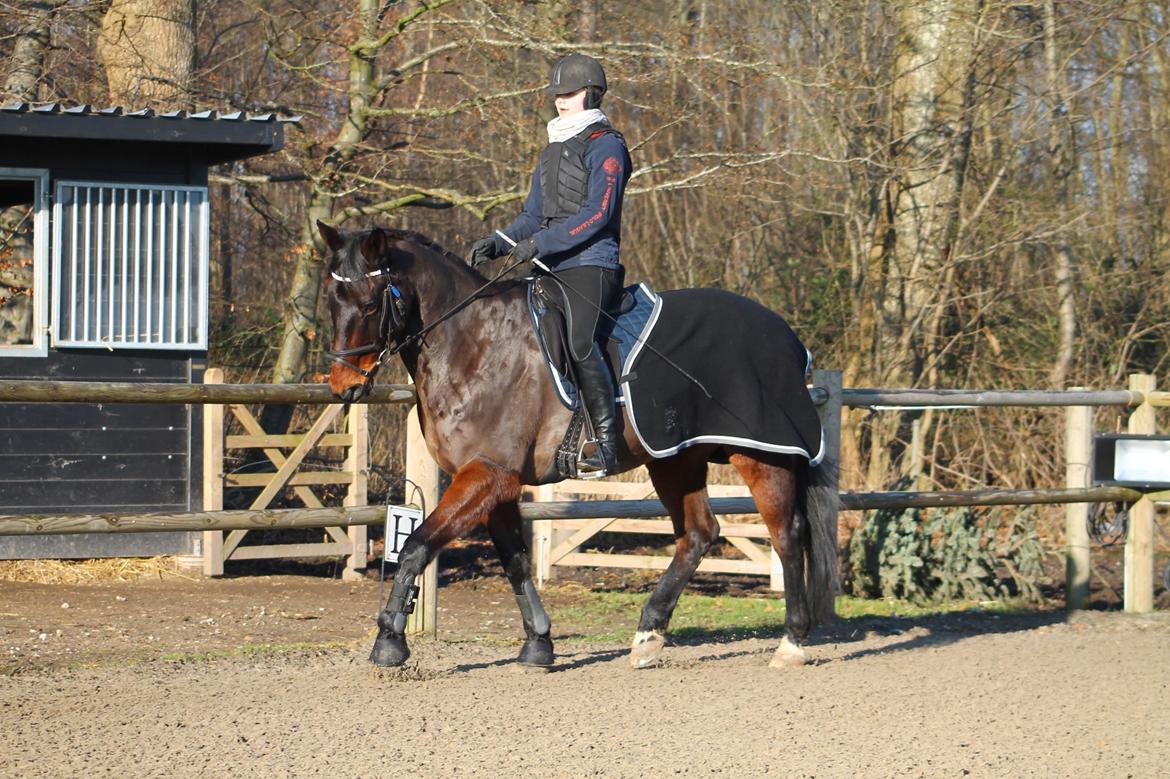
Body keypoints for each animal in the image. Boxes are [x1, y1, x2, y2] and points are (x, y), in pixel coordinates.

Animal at [315, 219, 837, 669]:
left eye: (369, 303)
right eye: (331, 300)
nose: (344, 387)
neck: (474, 345)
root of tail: (789, 338)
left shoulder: (486, 473)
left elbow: (416, 546)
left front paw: (390, 639)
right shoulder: (499, 482)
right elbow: (515, 561)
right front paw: (539, 643)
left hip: (762, 455)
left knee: (786, 535)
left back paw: (791, 643)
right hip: (675, 460)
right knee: (699, 533)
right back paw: (648, 636)